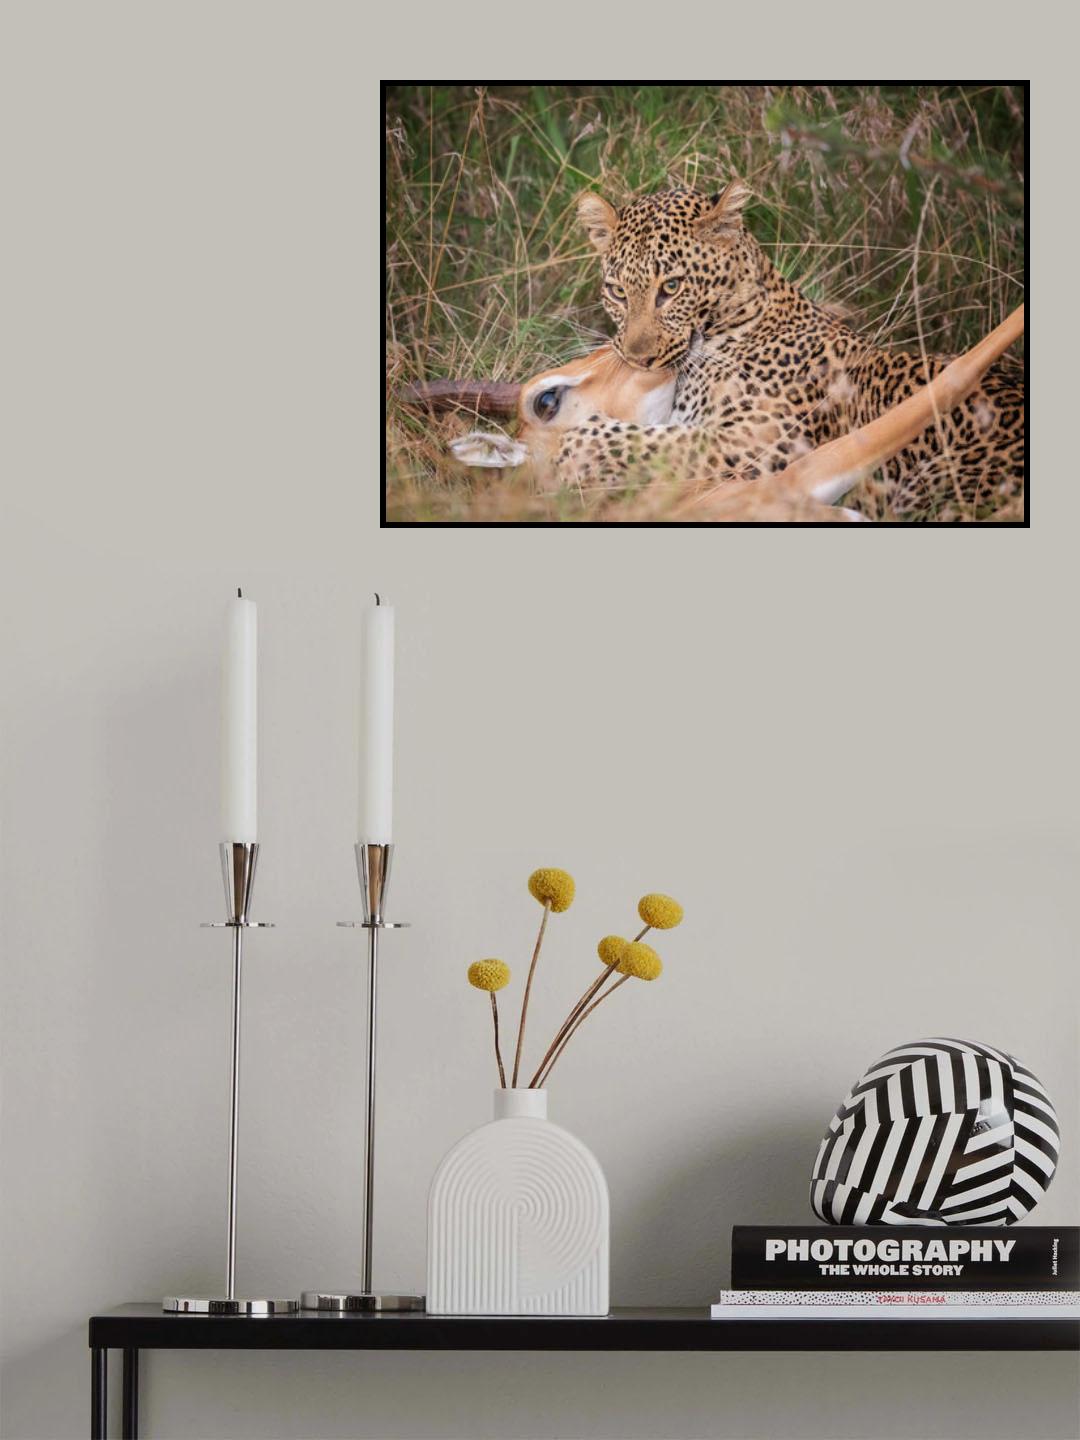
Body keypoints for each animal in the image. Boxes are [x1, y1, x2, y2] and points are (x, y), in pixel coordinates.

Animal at [568, 181, 1025, 519]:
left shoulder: (756, 443)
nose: (637, 359)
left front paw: (572, 441)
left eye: (672, 287)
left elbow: (653, 441)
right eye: (617, 292)